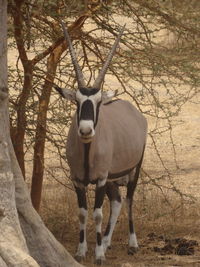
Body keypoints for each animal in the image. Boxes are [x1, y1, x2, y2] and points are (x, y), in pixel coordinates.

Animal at [54, 21, 147, 266]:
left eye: (97, 102)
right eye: (76, 101)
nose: (86, 130)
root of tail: (134, 112)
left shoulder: (100, 179)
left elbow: (97, 213)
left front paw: (98, 255)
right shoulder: (78, 179)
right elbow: (82, 212)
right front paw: (81, 250)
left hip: (133, 170)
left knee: (129, 200)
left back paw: (132, 244)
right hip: (113, 178)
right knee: (116, 201)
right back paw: (105, 242)